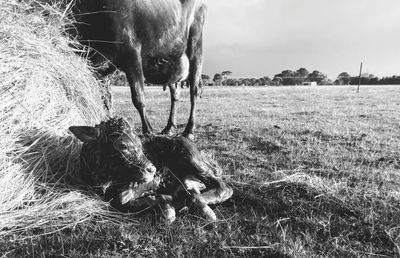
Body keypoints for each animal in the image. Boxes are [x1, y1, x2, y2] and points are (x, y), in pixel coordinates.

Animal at [69, 116, 231, 222]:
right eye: (123, 145)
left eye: (140, 143)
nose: (152, 169)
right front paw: (166, 203)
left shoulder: (153, 179)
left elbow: (120, 199)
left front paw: (167, 205)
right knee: (190, 187)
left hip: (192, 158)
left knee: (223, 187)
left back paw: (202, 209)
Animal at [72, 0, 208, 139]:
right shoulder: (100, 69)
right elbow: (106, 101)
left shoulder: (132, 54)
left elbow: (138, 97)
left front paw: (148, 130)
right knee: (175, 95)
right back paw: (169, 127)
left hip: (196, 46)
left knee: (194, 91)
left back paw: (189, 130)